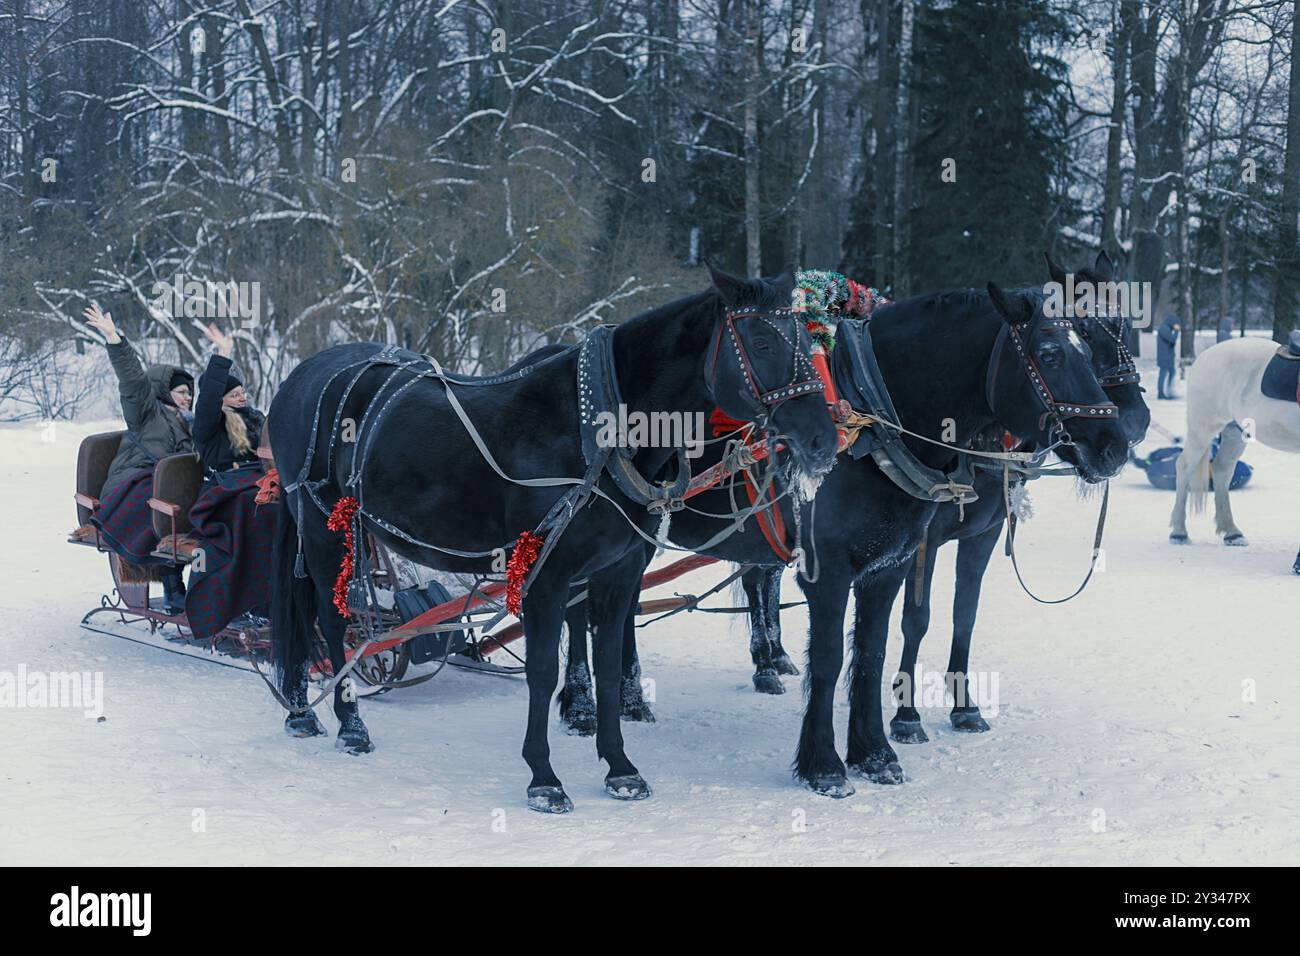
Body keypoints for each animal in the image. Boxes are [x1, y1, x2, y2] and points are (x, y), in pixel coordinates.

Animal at [265, 264, 837, 816]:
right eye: (760, 342)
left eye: (808, 342)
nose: (823, 439)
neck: (596, 431)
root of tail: (303, 374)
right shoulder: (545, 573)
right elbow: (543, 672)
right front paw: (544, 778)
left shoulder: (617, 571)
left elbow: (608, 666)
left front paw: (620, 767)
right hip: (321, 526)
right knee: (330, 619)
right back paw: (348, 724)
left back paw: (301, 711)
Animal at [564, 278, 1133, 790]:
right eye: (1050, 354)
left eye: (1093, 345)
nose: (1115, 443)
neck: (872, 422)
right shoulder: (832, 571)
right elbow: (831, 658)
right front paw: (825, 764)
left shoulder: (892, 565)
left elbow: (876, 653)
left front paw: (875, 753)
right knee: (581, 609)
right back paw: (581, 706)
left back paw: (634, 699)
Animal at [1175, 335, 1300, 574]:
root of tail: (1205, 355)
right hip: (1201, 429)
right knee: (1185, 467)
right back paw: (1178, 532)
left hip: (1235, 432)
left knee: (1222, 470)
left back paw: (1232, 533)